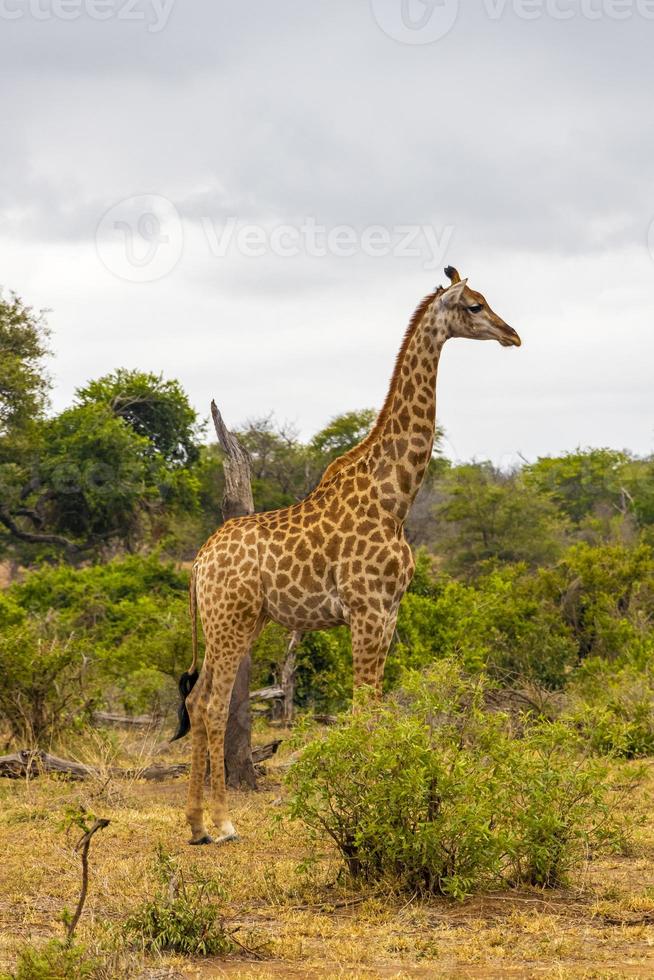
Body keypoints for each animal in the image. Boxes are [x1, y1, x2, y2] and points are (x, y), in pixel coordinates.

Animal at [173, 266, 524, 844]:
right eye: (474, 305)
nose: (512, 334)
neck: (396, 496)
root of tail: (199, 563)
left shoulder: (390, 611)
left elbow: (373, 709)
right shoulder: (368, 610)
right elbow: (364, 711)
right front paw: (372, 811)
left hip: (241, 622)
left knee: (196, 701)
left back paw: (198, 825)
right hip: (231, 620)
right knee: (211, 704)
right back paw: (221, 823)